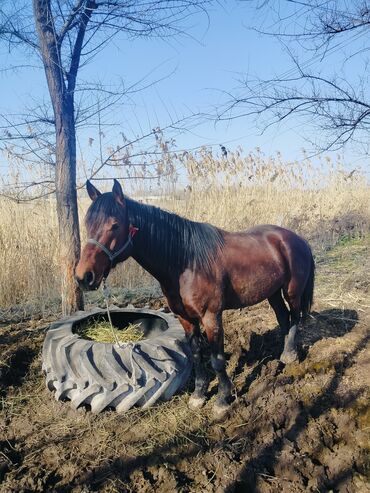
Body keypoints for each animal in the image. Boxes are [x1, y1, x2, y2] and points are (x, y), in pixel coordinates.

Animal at [75, 179, 316, 418]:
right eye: (87, 224)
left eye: (115, 225)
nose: (83, 277)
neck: (186, 262)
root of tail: (296, 238)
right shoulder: (185, 318)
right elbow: (197, 354)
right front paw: (199, 395)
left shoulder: (211, 316)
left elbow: (217, 360)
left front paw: (222, 400)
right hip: (272, 293)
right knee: (283, 318)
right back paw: (284, 353)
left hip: (292, 291)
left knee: (294, 317)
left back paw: (291, 355)